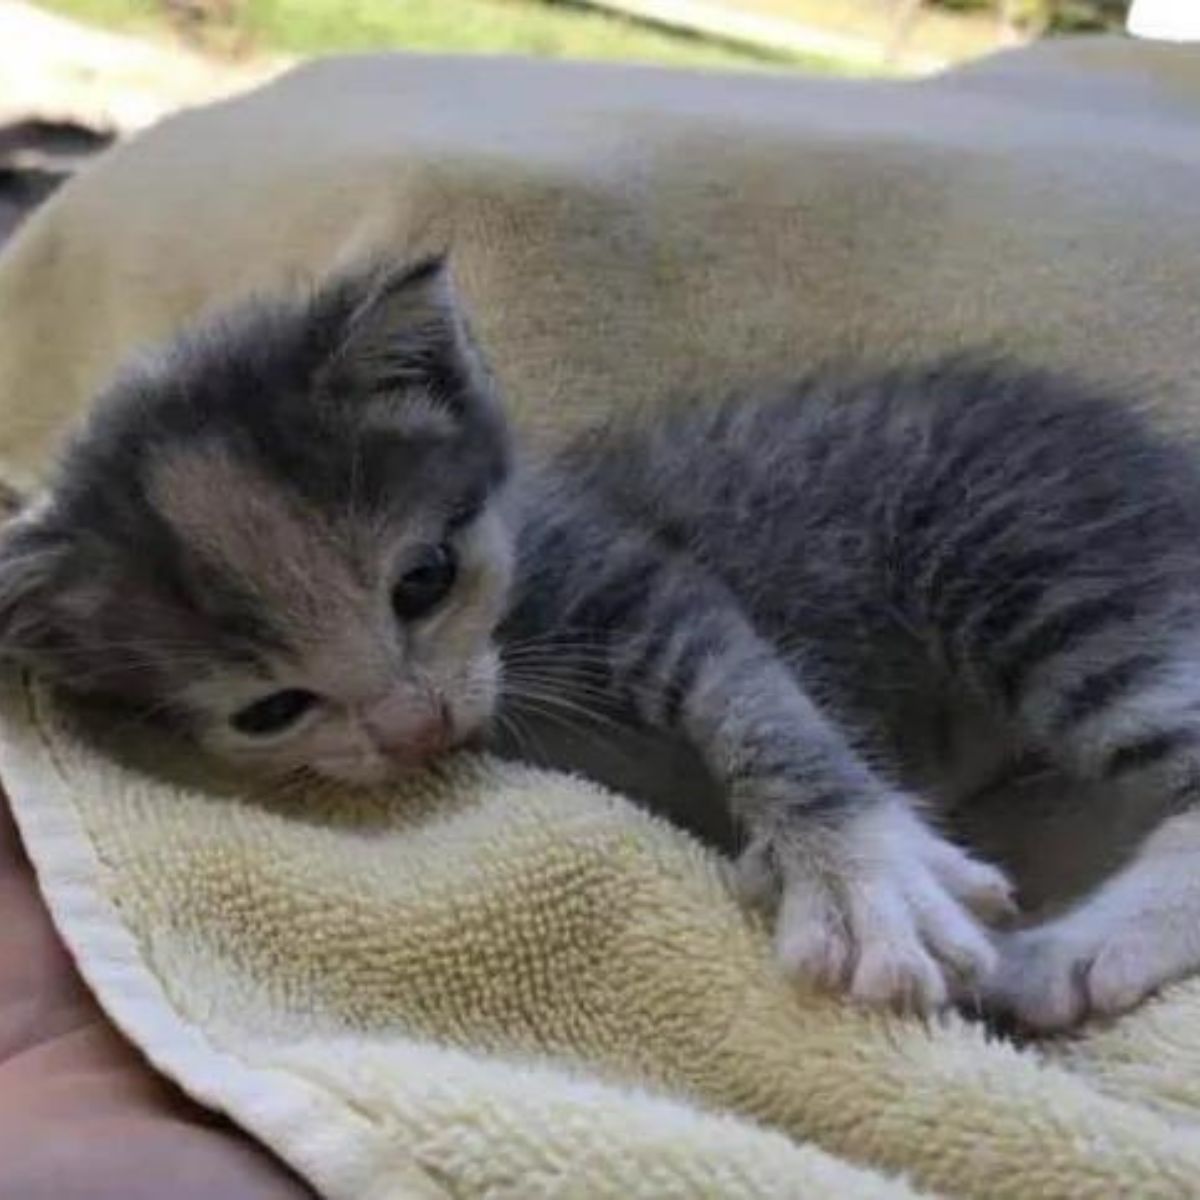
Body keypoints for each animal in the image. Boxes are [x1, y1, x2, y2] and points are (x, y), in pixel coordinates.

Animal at [7, 260, 1200, 1032]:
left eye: (422, 582)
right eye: (269, 711)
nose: (413, 728)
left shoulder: (630, 573)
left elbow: (759, 703)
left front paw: (858, 873)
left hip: (1031, 562)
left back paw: (1075, 954)